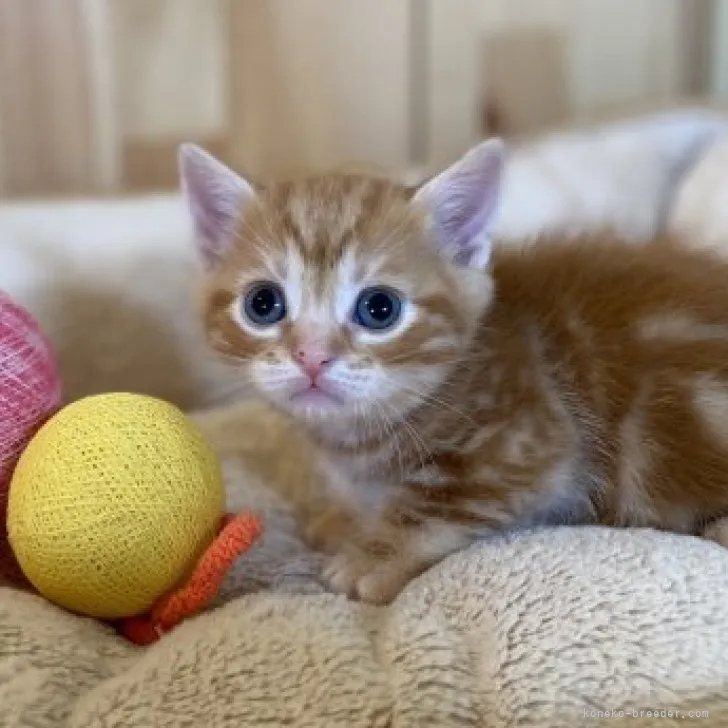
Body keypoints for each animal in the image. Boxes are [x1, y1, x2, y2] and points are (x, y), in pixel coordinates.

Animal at [179, 141, 728, 604]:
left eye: (379, 308)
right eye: (263, 304)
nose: (312, 357)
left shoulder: (533, 440)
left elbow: (439, 497)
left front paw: (374, 553)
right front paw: (345, 519)